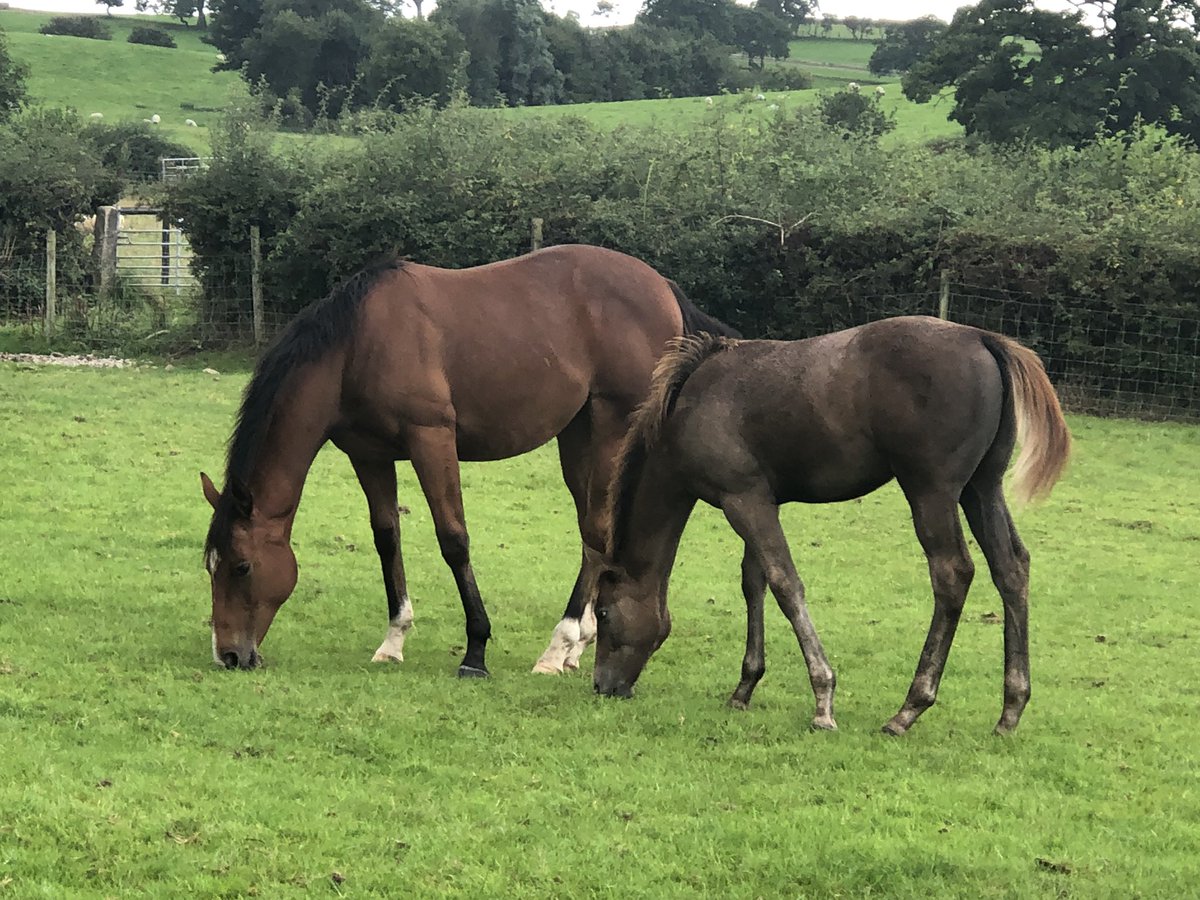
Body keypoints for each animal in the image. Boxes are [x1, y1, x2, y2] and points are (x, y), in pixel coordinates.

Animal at [200, 244, 738, 677]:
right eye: (211, 567)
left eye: (242, 567)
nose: (229, 655)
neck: (355, 346)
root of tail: (661, 286)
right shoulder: (369, 455)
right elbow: (386, 538)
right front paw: (393, 641)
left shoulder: (432, 439)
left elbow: (453, 539)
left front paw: (475, 650)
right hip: (577, 436)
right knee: (594, 530)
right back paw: (575, 645)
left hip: (612, 428)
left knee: (597, 529)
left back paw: (560, 644)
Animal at [591, 316, 1071, 735]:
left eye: (602, 613)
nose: (602, 686)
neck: (688, 406)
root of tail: (982, 337)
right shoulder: (759, 500)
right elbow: (755, 583)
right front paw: (745, 687)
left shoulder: (743, 501)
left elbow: (786, 585)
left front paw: (823, 702)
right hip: (982, 489)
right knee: (1012, 568)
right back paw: (1010, 710)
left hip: (931, 492)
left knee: (953, 573)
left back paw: (909, 708)